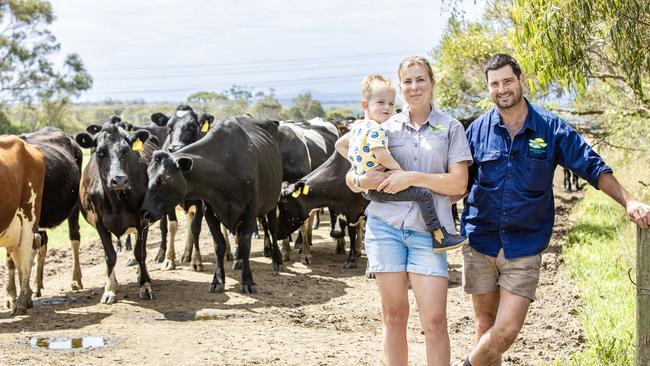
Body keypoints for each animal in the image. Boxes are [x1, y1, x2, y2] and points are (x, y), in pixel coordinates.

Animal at [0, 136, 45, 316]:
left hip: (28, 218)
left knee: (26, 257)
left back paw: (20, 304)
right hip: (12, 230)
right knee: (17, 258)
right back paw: (25, 299)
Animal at [75, 123, 156, 304]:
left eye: (126, 151)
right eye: (100, 152)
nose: (118, 179)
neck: (117, 201)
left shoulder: (142, 220)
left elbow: (140, 253)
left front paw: (145, 285)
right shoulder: (99, 222)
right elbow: (109, 256)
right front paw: (109, 289)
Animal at [140, 116, 282, 294]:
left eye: (162, 179)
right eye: (147, 176)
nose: (144, 213)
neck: (224, 168)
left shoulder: (250, 212)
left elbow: (245, 244)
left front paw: (248, 281)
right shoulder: (210, 211)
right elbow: (219, 245)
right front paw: (218, 279)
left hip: (272, 202)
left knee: (273, 229)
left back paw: (277, 259)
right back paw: (238, 261)